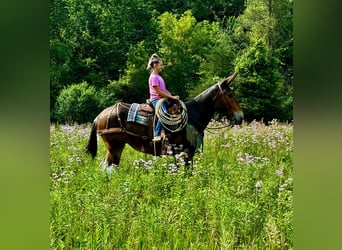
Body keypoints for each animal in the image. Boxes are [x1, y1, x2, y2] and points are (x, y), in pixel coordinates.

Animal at [87, 72, 244, 168]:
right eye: (230, 95)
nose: (240, 116)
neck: (192, 116)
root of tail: (99, 116)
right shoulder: (185, 152)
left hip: (115, 147)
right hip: (114, 146)